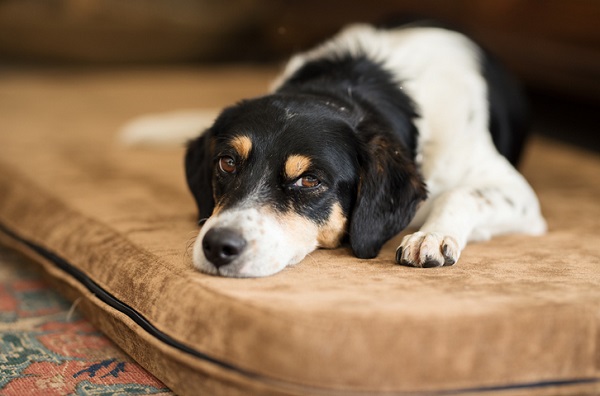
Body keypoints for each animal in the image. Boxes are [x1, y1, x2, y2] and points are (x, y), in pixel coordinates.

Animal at [124, 23, 548, 276]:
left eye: (310, 180)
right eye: (227, 162)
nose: (218, 246)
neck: (349, 86)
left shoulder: (519, 195)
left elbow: (461, 194)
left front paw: (431, 236)